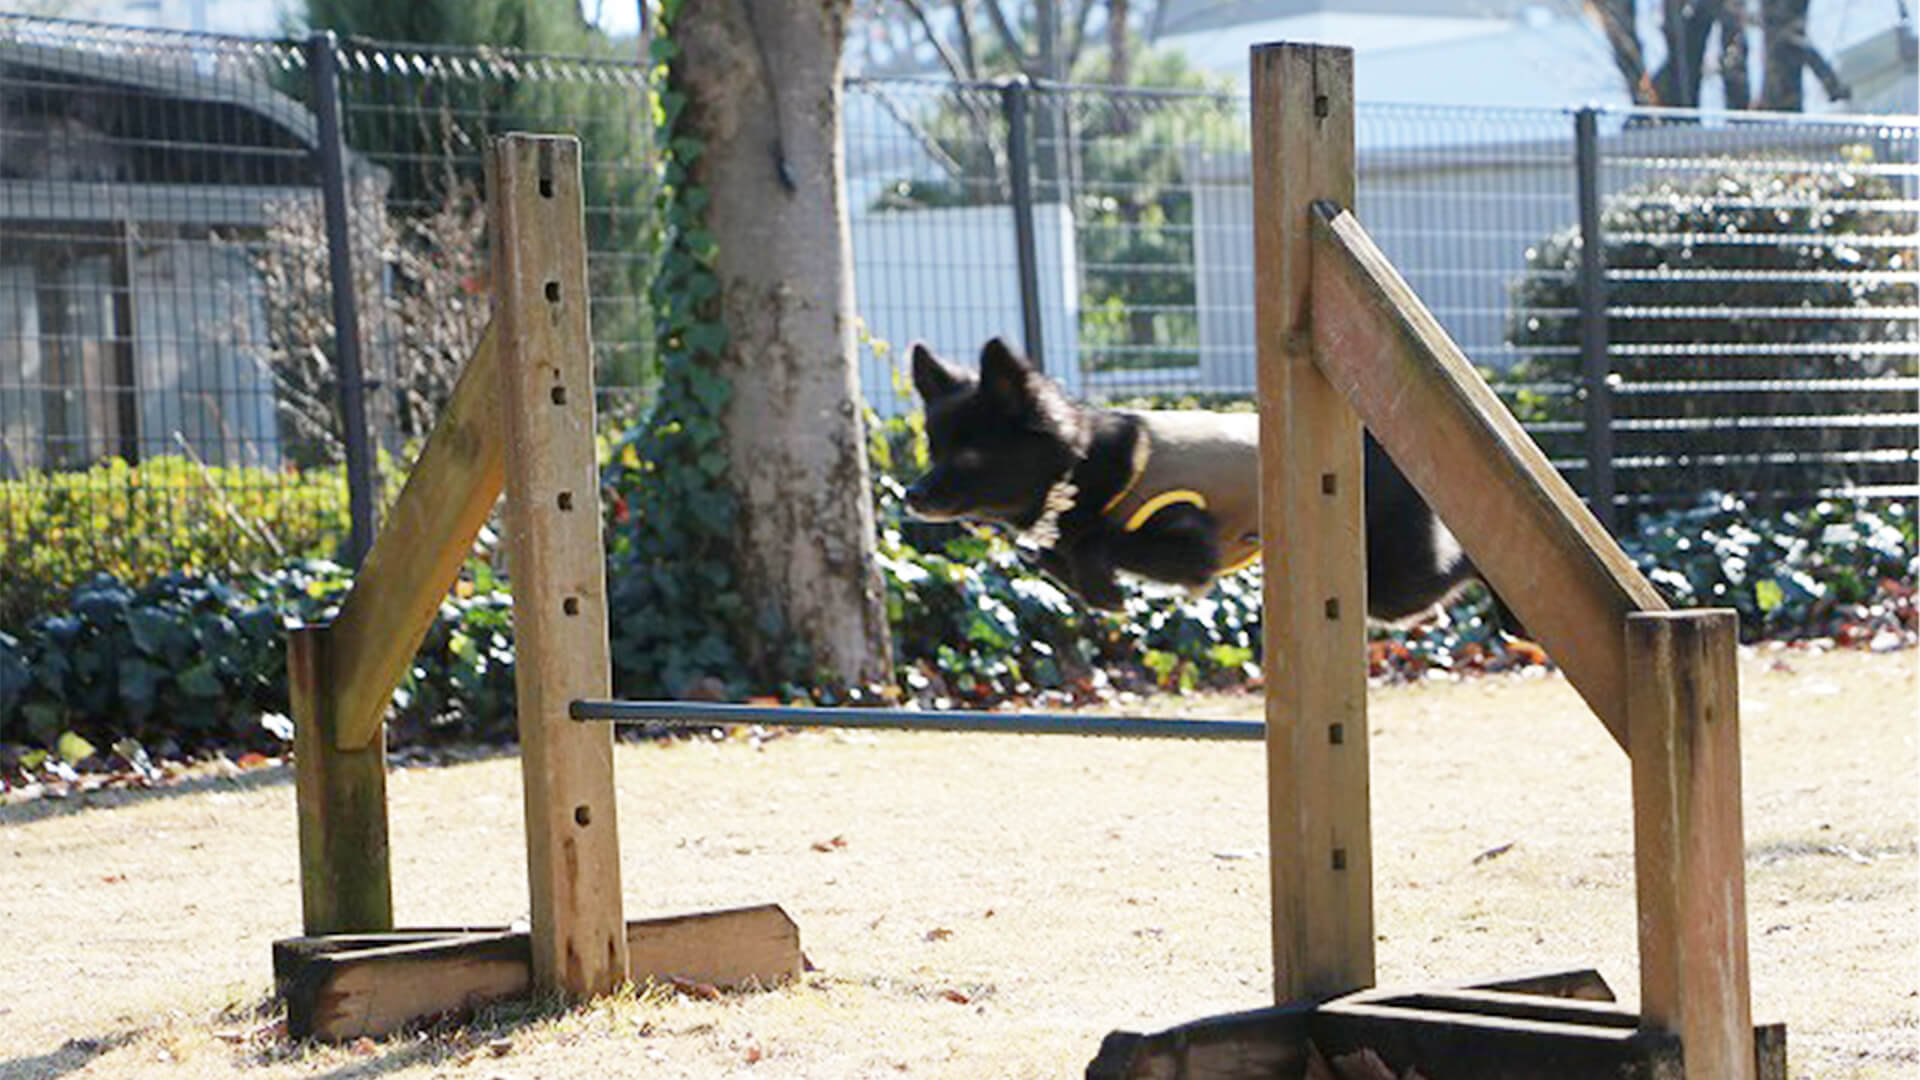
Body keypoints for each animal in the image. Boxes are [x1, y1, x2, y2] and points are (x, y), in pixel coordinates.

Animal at [906, 340, 1474, 618]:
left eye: (971, 454)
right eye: (934, 450)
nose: (911, 494)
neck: (1083, 466)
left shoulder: (1192, 548)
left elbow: (1098, 541)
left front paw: (1102, 587)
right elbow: (1049, 553)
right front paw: (1099, 591)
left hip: (1393, 579)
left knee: (1451, 569)